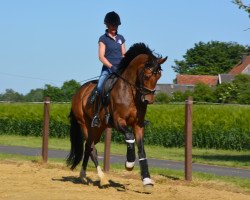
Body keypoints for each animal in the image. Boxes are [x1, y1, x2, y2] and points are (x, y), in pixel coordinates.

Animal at [67, 43, 168, 190]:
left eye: (159, 75)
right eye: (146, 75)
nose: (148, 100)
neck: (131, 93)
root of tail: (79, 91)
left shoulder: (138, 125)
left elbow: (142, 149)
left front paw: (147, 180)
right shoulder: (118, 121)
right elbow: (129, 136)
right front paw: (129, 163)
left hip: (98, 129)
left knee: (88, 147)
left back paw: (83, 175)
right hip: (84, 124)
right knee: (91, 148)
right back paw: (102, 179)